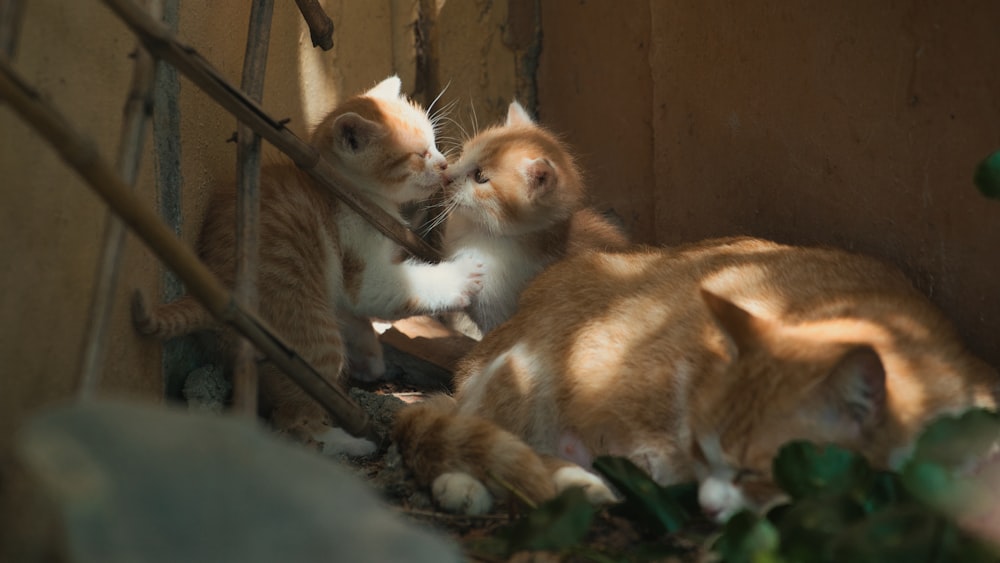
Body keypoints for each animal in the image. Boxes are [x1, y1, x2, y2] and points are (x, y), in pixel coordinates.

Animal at [132, 76, 484, 454]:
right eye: (420, 155)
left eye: (434, 143)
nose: (445, 164)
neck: (347, 192)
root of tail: (214, 285)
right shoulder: (361, 271)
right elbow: (393, 291)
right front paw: (463, 275)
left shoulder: (339, 285)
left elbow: (353, 316)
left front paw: (369, 357)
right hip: (309, 333)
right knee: (294, 422)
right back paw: (348, 441)